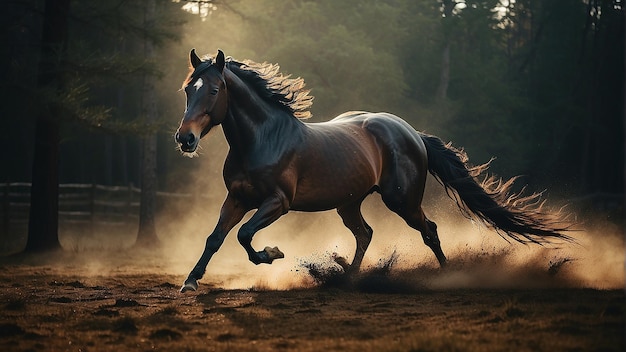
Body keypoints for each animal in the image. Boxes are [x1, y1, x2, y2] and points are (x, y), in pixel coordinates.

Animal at [174, 49, 572, 292]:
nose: (185, 139)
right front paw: (191, 281)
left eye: (213, 90)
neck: (262, 140)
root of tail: (412, 133)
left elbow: (244, 236)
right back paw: (347, 277)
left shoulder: (277, 202)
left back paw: (448, 275)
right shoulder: (237, 198)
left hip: (402, 201)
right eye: (187, 89)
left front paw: (273, 254)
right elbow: (216, 237)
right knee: (365, 234)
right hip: (349, 203)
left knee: (429, 230)